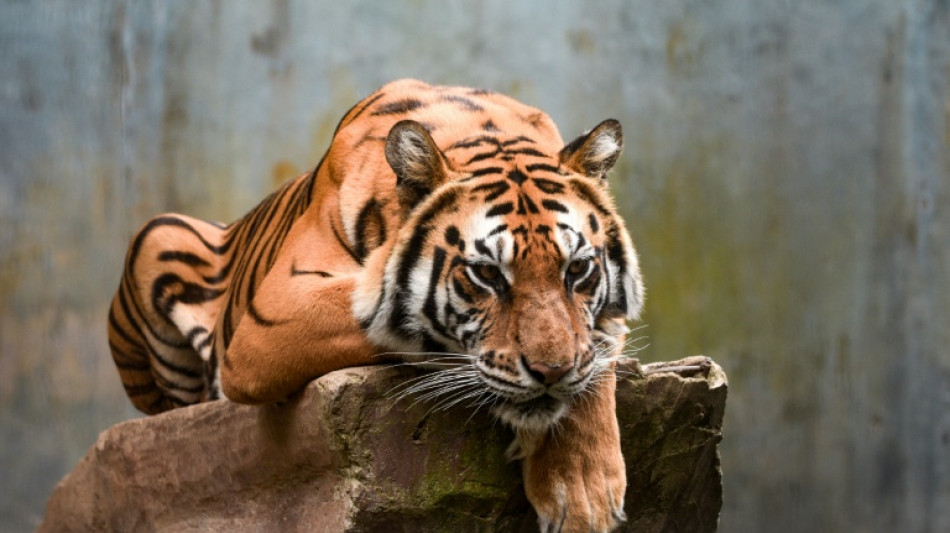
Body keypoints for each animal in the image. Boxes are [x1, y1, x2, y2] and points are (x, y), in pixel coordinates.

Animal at [108, 79, 644, 533]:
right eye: (488, 274)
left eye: (577, 269)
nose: (551, 372)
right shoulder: (276, 313)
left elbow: (594, 352)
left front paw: (581, 491)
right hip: (159, 237)